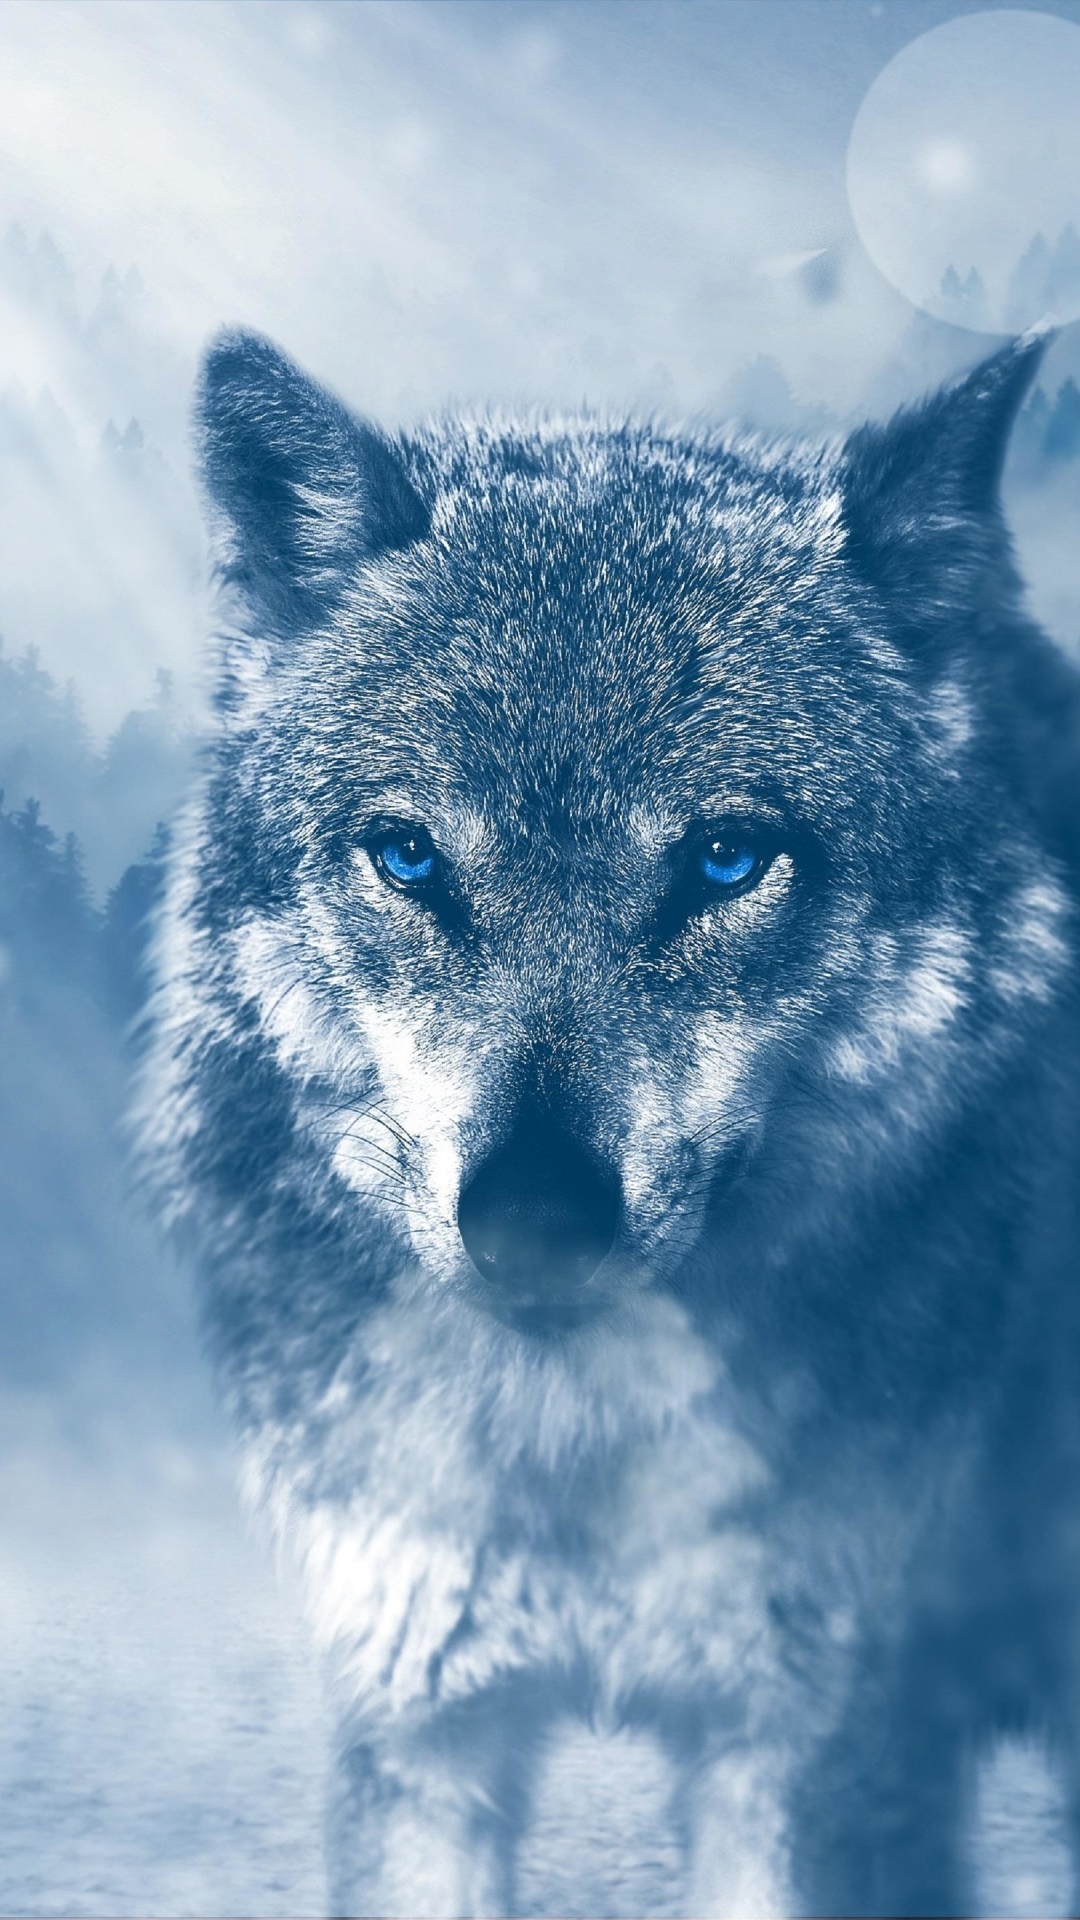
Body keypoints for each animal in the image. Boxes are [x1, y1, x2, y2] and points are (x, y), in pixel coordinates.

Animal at [140, 324, 1080, 1918]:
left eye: (727, 857)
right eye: (409, 856)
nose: (534, 1219)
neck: (572, 1455)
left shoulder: (814, 1748)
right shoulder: (421, 1726)